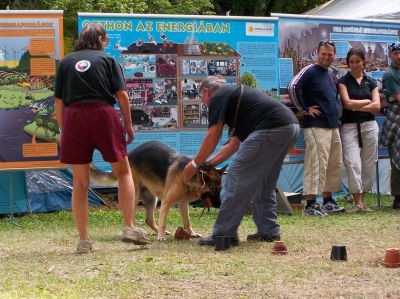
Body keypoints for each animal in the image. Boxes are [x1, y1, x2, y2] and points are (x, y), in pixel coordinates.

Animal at [92, 142, 227, 243]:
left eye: (220, 189)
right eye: (214, 190)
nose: (220, 205)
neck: (192, 178)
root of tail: (129, 154)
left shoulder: (183, 204)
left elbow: (187, 222)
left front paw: (192, 233)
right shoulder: (167, 202)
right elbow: (163, 222)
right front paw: (160, 236)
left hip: (152, 199)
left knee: (148, 219)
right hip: (134, 195)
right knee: (131, 215)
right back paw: (134, 231)